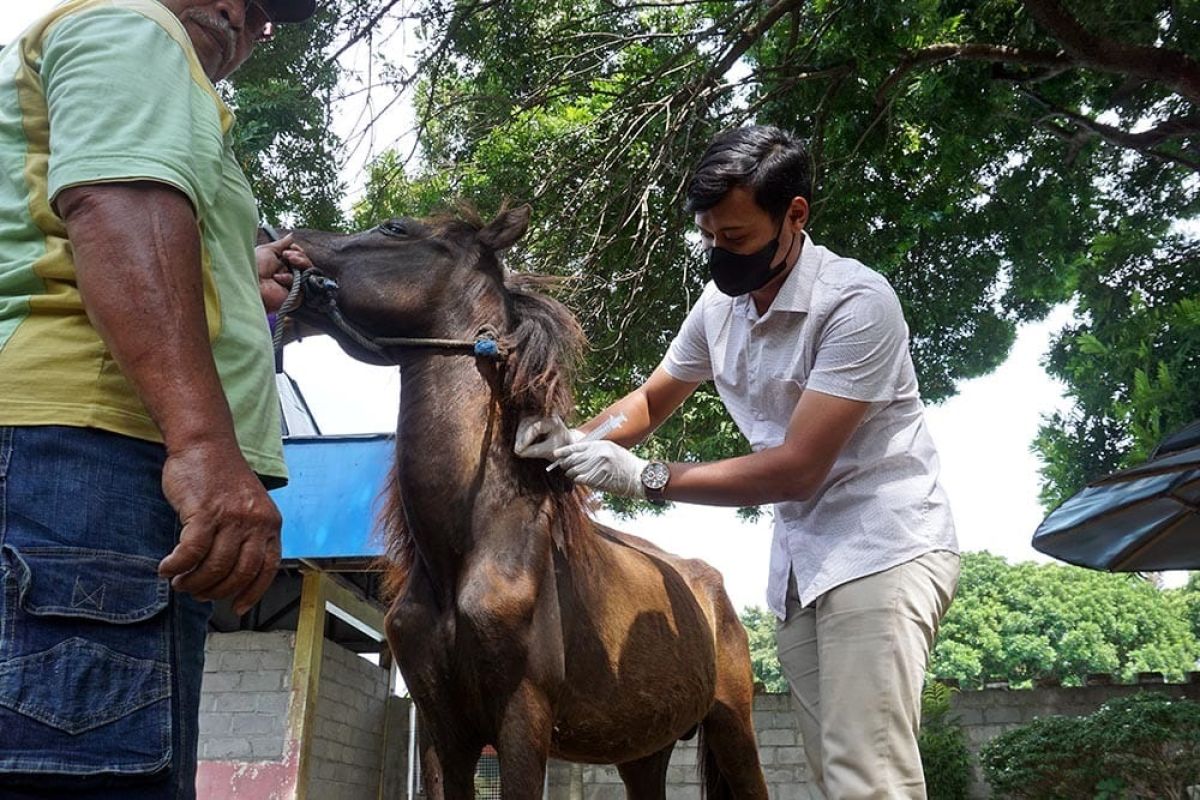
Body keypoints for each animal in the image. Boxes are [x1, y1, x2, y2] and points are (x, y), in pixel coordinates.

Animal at [285, 208, 763, 800]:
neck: (471, 545)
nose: (277, 239)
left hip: (733, 727)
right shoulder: (442, 729)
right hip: (643, 750)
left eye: (395, 228)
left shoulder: (521, 720)